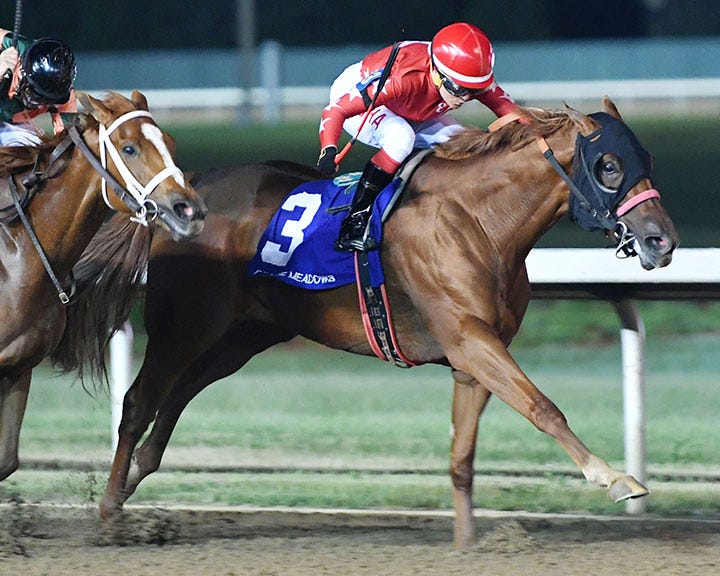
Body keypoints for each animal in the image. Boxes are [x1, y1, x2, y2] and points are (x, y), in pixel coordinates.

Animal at [60, 97, 678, 548]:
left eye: (648, 159)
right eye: (609, 166)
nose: (661, 241)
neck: (479, 219)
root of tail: (178, 199)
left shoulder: (476, 353)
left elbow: (463, 455)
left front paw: (468, 541)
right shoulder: (470, 339)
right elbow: (543, 407)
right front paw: (616, 478)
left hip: (248, 333)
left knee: (180, 393)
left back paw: (137, 473)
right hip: (184, 322)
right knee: (141, 399)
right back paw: (111, 510)